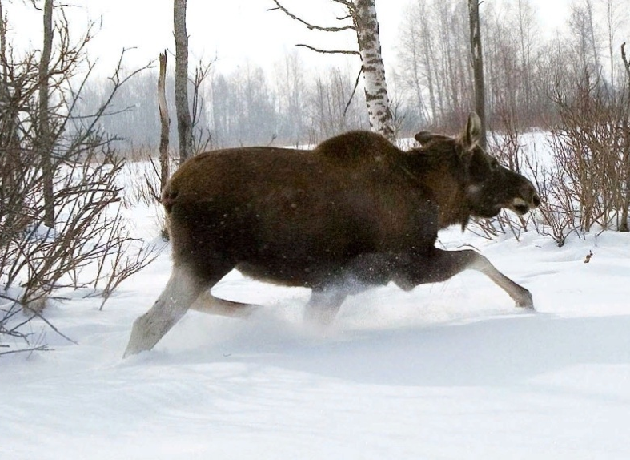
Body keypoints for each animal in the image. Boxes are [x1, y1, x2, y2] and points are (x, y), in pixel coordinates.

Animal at [124, 113, 544, 358]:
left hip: (199, 261)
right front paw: (524, 297)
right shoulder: (406, 265)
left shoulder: (335, 281)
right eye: (491, 163)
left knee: (197, 302)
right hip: (205, 258)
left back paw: (268, 317)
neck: (437, 198)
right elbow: (476, 255)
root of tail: (170, 190)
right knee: (149, 324)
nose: (529, 190)